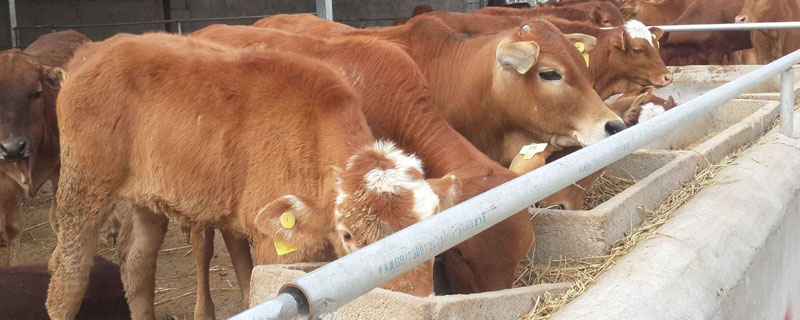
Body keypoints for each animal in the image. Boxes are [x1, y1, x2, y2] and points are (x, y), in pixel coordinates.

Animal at [0, 30, 88, 264]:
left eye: (37, 93)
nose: (13, 147)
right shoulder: (3, 177)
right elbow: (11, 227)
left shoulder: (60, 170)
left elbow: (58, 218)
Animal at [45, 33, 456, 320]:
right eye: (349, 235)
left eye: (434, 231)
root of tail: (93, 51)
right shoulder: (276, 249)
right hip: (82, 187)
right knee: (67, 280)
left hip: (145, 198)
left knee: (137, 267)